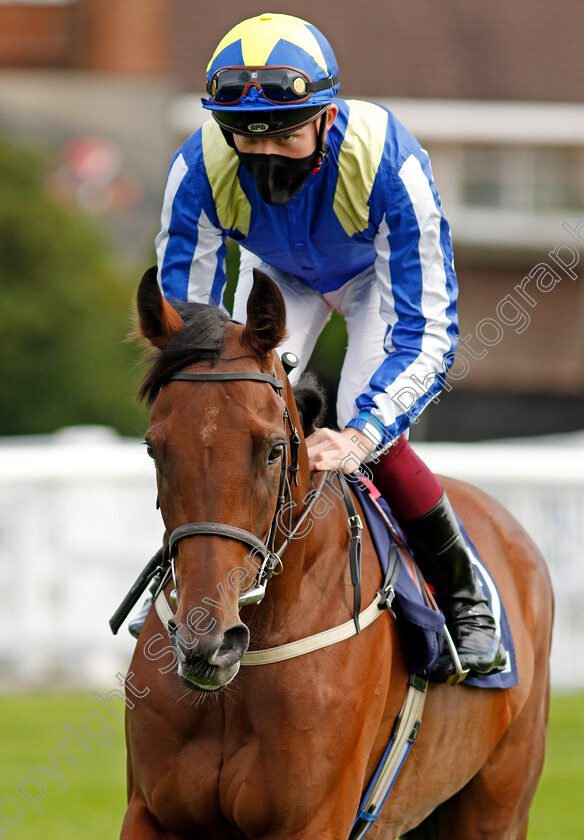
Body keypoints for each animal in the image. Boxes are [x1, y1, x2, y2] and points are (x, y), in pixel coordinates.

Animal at [118, 268, 552, 840]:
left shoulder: (313, 820)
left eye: (274, 449)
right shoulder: (151, 813)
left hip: (497, 805)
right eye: (154, 448)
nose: (207, 642)